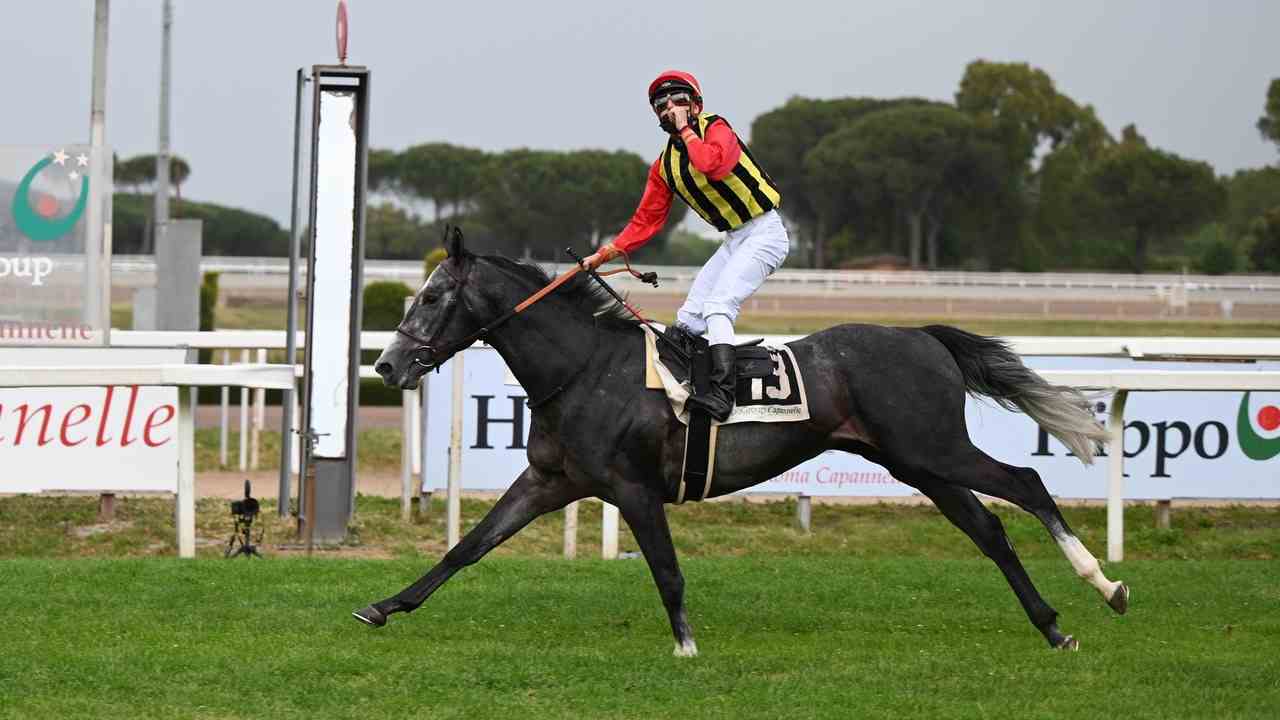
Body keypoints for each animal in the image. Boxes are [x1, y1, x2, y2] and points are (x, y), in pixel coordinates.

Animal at [353, 227, 1128, 655]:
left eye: (431, 296)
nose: (386, 366)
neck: (584, 367)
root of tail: (922, 336)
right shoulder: (551, 481)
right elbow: (466, 547)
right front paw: (384, 606)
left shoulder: (633, 488)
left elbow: (667, 570)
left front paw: (687, 645)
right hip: (915, 461)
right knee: (989, 529)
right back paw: (1054, 626)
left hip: (933, 448)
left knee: (1025, 484)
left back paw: (1107, 584)